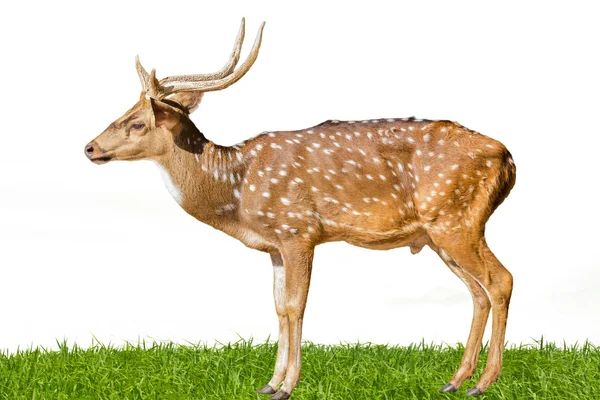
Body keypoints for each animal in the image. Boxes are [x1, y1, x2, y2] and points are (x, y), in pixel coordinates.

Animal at [83, 19, 516, 400]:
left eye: (137, 123)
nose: (89, 147)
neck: (237, 190)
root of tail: (508, 158)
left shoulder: (298, 232)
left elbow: (295, 306)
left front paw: (287, 386)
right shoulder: (274, 246)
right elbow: (278, 307)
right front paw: (269, 383)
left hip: (457, 220)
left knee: (500, 281)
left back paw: (483, 383)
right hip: (438, 234)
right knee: (477, 292)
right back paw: (455, 381)